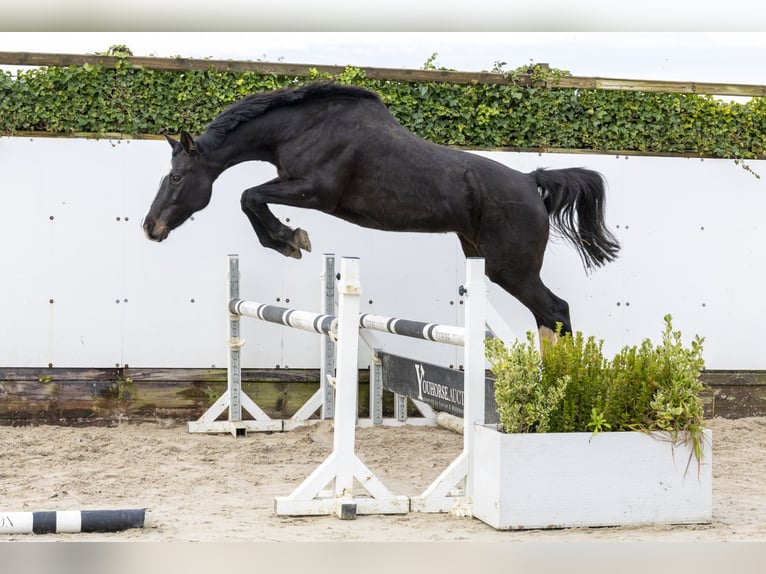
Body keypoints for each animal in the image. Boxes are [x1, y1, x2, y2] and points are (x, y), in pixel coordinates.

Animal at [143, 81, 619, 339]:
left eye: (177, 178)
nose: (150, 227)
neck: (301, 127)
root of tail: (529, 180)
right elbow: (251, 197)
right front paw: (289, 240)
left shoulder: (315, 193)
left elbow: (249, 196)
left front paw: (290, 240)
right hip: (483, 260)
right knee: (547, 317)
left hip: (511, 269)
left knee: (556, 311)